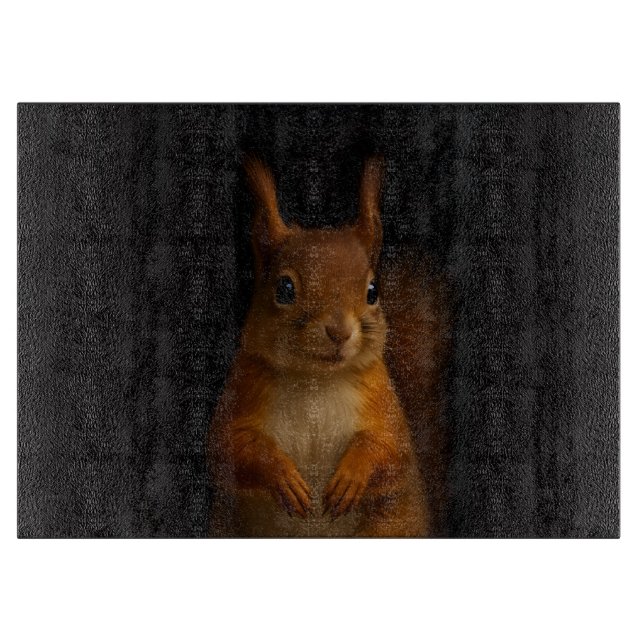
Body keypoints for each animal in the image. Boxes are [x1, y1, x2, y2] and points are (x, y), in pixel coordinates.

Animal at [207, 156, 451, 537]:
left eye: (372, 291)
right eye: (285, 288)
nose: (339, 331)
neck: (315, 381)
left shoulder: (382, 401)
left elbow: (390, 449)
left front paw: (352, 476)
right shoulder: (245, 388)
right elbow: (227, 446)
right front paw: (283, 476)